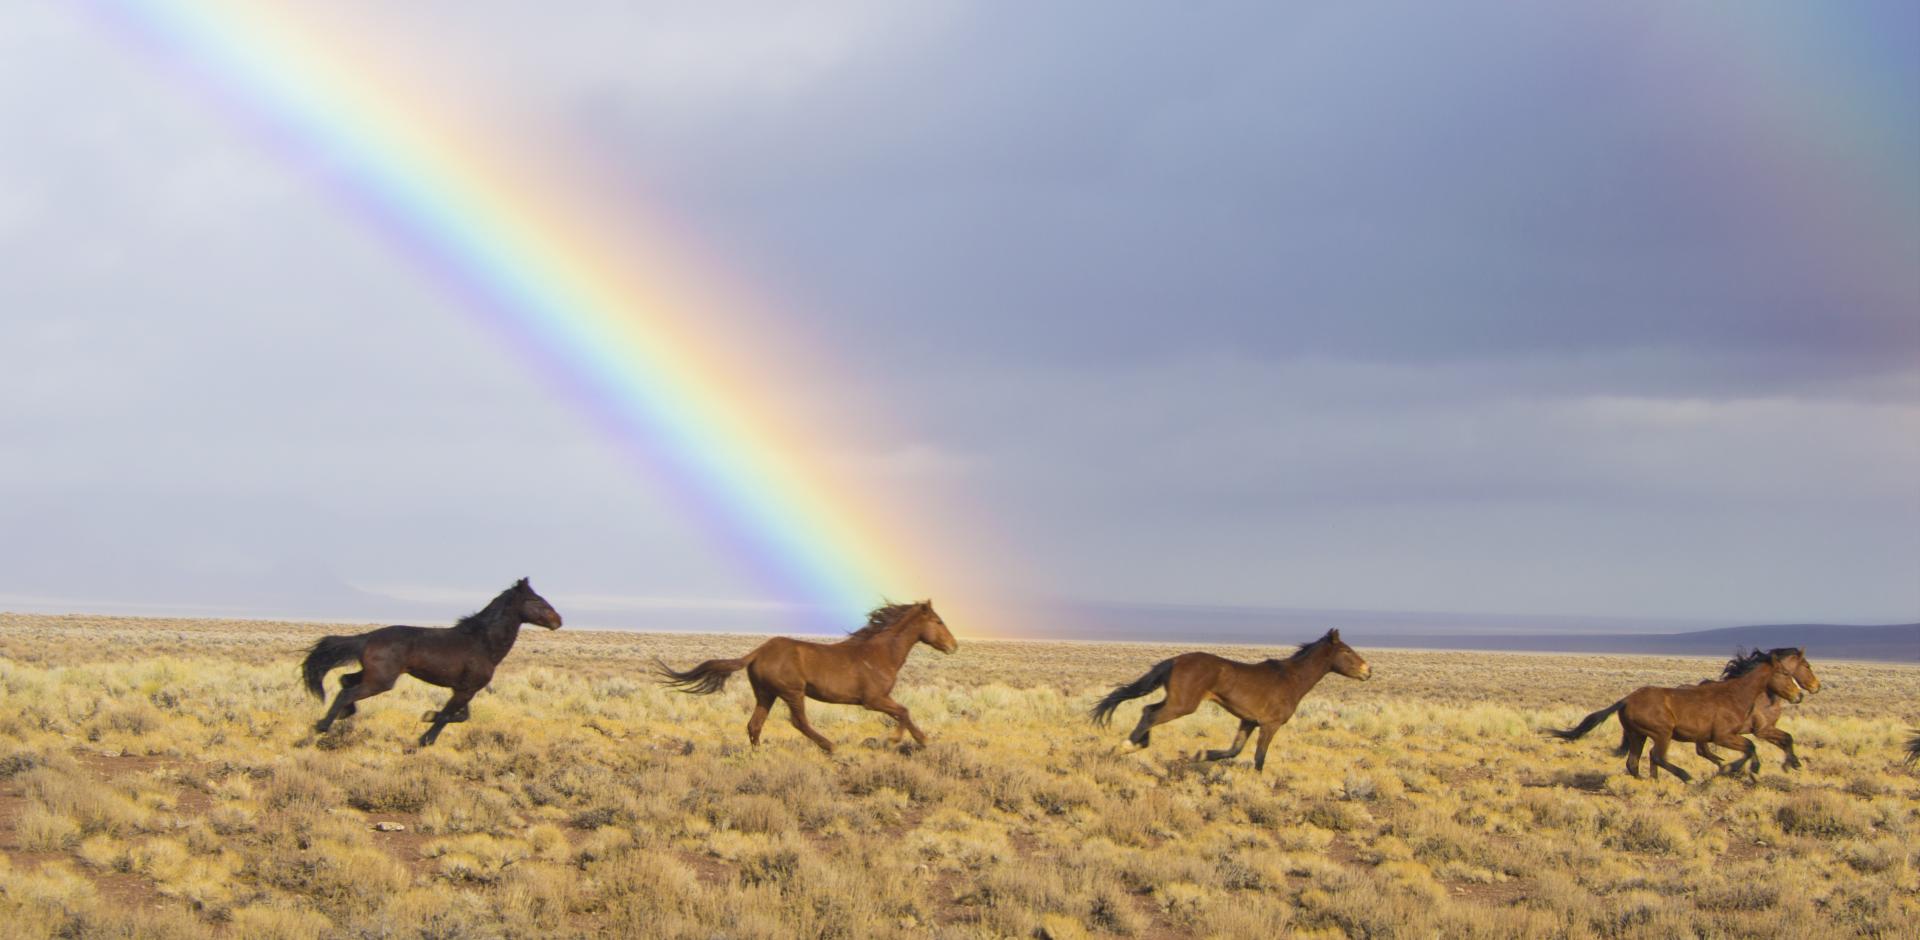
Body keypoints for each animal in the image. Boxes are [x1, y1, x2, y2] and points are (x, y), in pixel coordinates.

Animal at [303, 575, 560, 744]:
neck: (483, 642)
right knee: (347, 691)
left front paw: (427, 717)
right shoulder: (466, 690)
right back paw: (322, 725)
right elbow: (448, 716)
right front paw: (425, 740)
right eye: (536, 600)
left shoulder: (464, 689)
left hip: (373, 674)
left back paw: (343, 714)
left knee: (346, 681)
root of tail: (367, 638)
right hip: (381, 680)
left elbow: (462, 716)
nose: (558, 620)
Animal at [656, 606, 956, 752]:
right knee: (798, 722)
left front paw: (913, 740)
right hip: (792, 692)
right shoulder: (873, 700)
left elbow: (903, 712)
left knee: (755, 725)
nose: (953, 646)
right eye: (939, 621)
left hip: (766, 694)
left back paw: (758, 755)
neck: (880, 653)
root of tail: (759, 651)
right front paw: (904, 741)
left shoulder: (879, 700)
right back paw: (830, 746)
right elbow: (904, 712)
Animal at [1090, 633, 1374, 771]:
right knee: (1150, 713)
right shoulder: (1269, 725)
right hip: (1183, 704)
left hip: (1178, 702)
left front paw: (1199, 755)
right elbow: (1259, 759)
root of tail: (1175, 660)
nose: (1368, 671)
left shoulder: (1248, 721)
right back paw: (1126, 746)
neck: (1291, 679)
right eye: (1347, 651)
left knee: (1147, 709)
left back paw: (1136, 745)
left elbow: (1233, 751)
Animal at [1543, 644, 1797, 778]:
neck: (1736, 694)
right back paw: (1685, 776)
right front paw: (1739, 768)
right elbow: (1750, 747)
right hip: (1661, 733)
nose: (1799, 695)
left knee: (1634, 762)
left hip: (1638, 734)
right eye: (1786, 673)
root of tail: (1625, 700)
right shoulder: (1724, 736)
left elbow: (1752, 747)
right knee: (1655, 756)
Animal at [1689, 644, 1820, 771]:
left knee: (1703, 751)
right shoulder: (1762, 731)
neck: (1763, 699)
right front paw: (1792, 764)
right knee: (1703, 751)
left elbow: (1785, 741)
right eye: (1807, 666)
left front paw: (1791, 763)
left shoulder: (1768, 730)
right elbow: (1788, 738)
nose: (1817, 686)